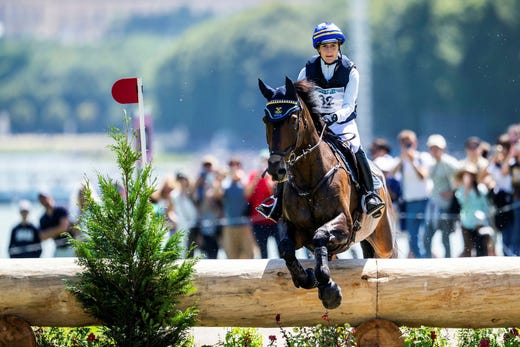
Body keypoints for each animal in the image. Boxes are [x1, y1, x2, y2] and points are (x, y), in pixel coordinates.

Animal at [258, 77, 396, 310]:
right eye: (265, 120)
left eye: (293, 119)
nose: (276, 170)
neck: (309, 179)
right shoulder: (292, 226)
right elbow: (286, 248)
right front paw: (306, 277)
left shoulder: (344, 224)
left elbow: (320, 235)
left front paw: (329, 291)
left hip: (383, 237)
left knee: (388, 255)